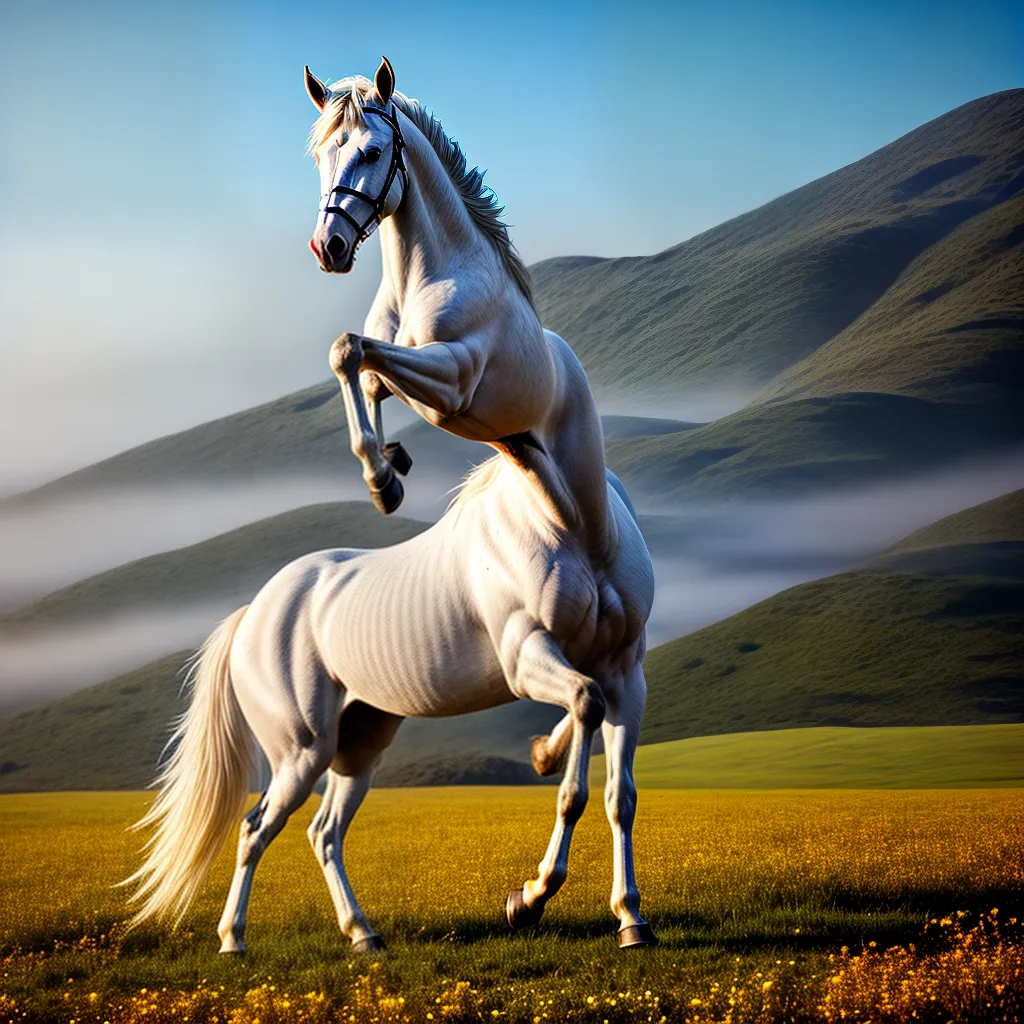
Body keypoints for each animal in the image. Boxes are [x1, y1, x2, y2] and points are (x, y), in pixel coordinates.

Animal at [126, 449, 657, 953]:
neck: (574, 523)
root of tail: (251, 615)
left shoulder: (624, 675)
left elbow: (620, 795)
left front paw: (631, 919)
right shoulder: (526, 655)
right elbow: (577, 765)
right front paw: (528, 898)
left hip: (358, 749)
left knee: (324, 833)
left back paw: (363, 935)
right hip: (301, 754)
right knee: (255, 830)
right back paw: (233, 939)